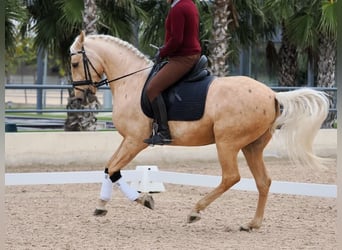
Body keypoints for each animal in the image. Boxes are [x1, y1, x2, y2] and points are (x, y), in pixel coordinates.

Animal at [69, 32, 328, 231]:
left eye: (74, 64)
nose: (81, 96)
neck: (131, 82)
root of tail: (272, 94)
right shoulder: (128, 140)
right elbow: (109, 167)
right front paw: (102, 205)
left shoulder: (135, 140)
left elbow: (113, 168)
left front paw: (143, 199)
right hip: (251, 146)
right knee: (263, 181)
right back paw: (252, 224)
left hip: (227, 143)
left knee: (231, 177)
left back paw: (195, 211)